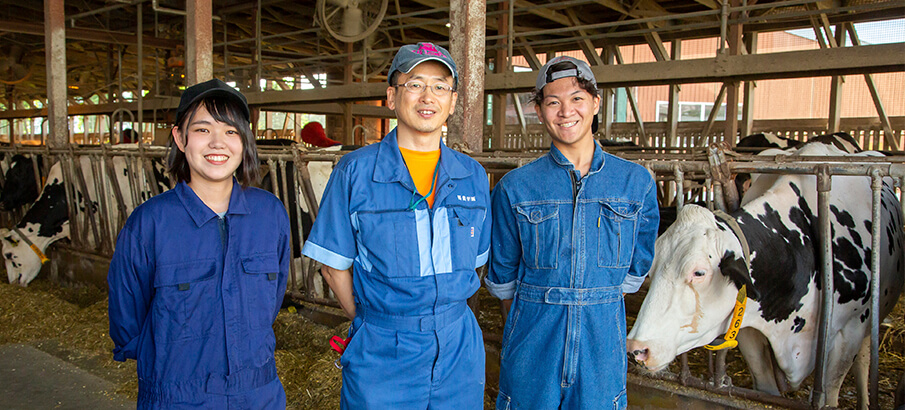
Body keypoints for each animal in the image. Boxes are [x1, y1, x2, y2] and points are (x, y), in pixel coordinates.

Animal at [628, 139, 904, 408]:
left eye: (699, 272)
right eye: (652, 267)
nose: (637, 349)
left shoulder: (848, 333)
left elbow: (830, 394)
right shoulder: (749, 331)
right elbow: (766, 387)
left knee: (864, 361)